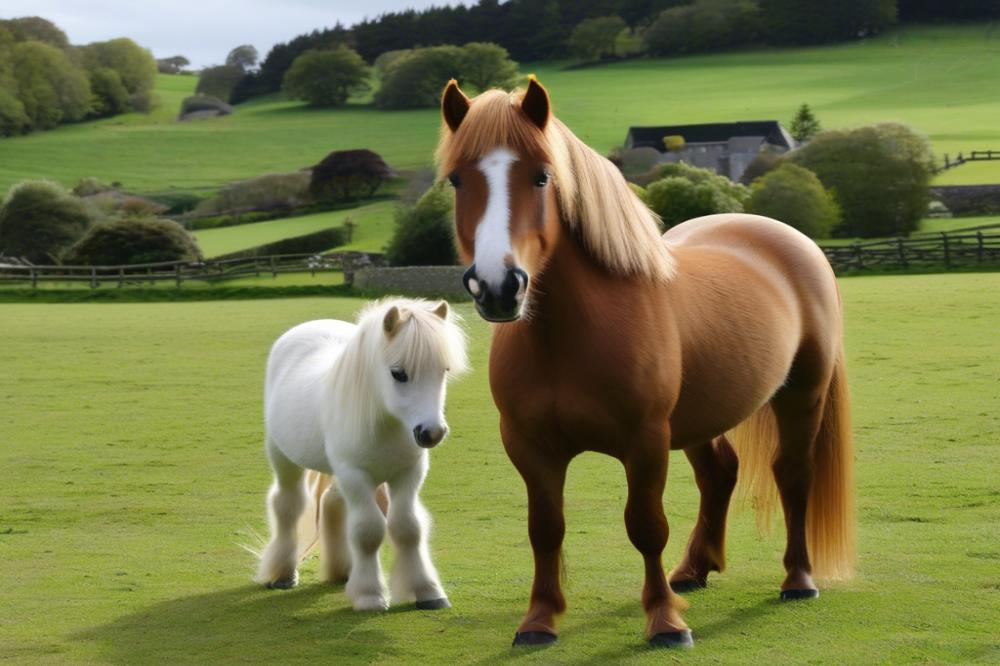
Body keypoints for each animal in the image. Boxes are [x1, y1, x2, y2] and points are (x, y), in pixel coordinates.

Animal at [254, 298, 464, 608]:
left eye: (444, 370)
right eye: (398, 373)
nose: (432, 432)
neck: (387, 423)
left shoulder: (408, 473)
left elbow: (408, 528)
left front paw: (427, 591)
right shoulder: (355, 474)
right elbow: (368, 531)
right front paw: (370, 595)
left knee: (333, 502)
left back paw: (342, 571)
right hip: (284, 458)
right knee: (288, 505)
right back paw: (283, 574)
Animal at [442, 76, 856, 644]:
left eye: (542, 175)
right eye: (457, 179)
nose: (498, 287)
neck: (568, 337)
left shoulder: (645, 441)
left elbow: (645, 525)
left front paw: (664, 621)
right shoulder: (530, 447)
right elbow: (545, 528)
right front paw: (539, 619)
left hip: (801, 394)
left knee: (792, 475)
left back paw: (798, 579)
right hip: (701, 415)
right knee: (720, 474)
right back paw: (695, 569)